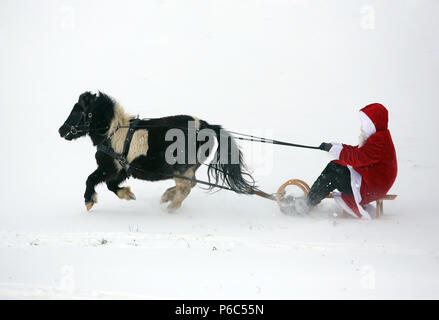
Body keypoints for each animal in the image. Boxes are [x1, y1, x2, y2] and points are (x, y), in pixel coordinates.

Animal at [58, 91, 258, 211]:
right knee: (189, 185)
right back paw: (168, 197)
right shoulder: (122, 170)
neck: (112, 133)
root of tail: (206, 126)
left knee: (185, 187)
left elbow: (91, 179)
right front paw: (128, 194)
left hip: (180, 168)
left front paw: (89, 201)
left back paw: (171, 207)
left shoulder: (109, 167)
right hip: (187, 169)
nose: (61, 130)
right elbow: (111, 185)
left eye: (77, 111)